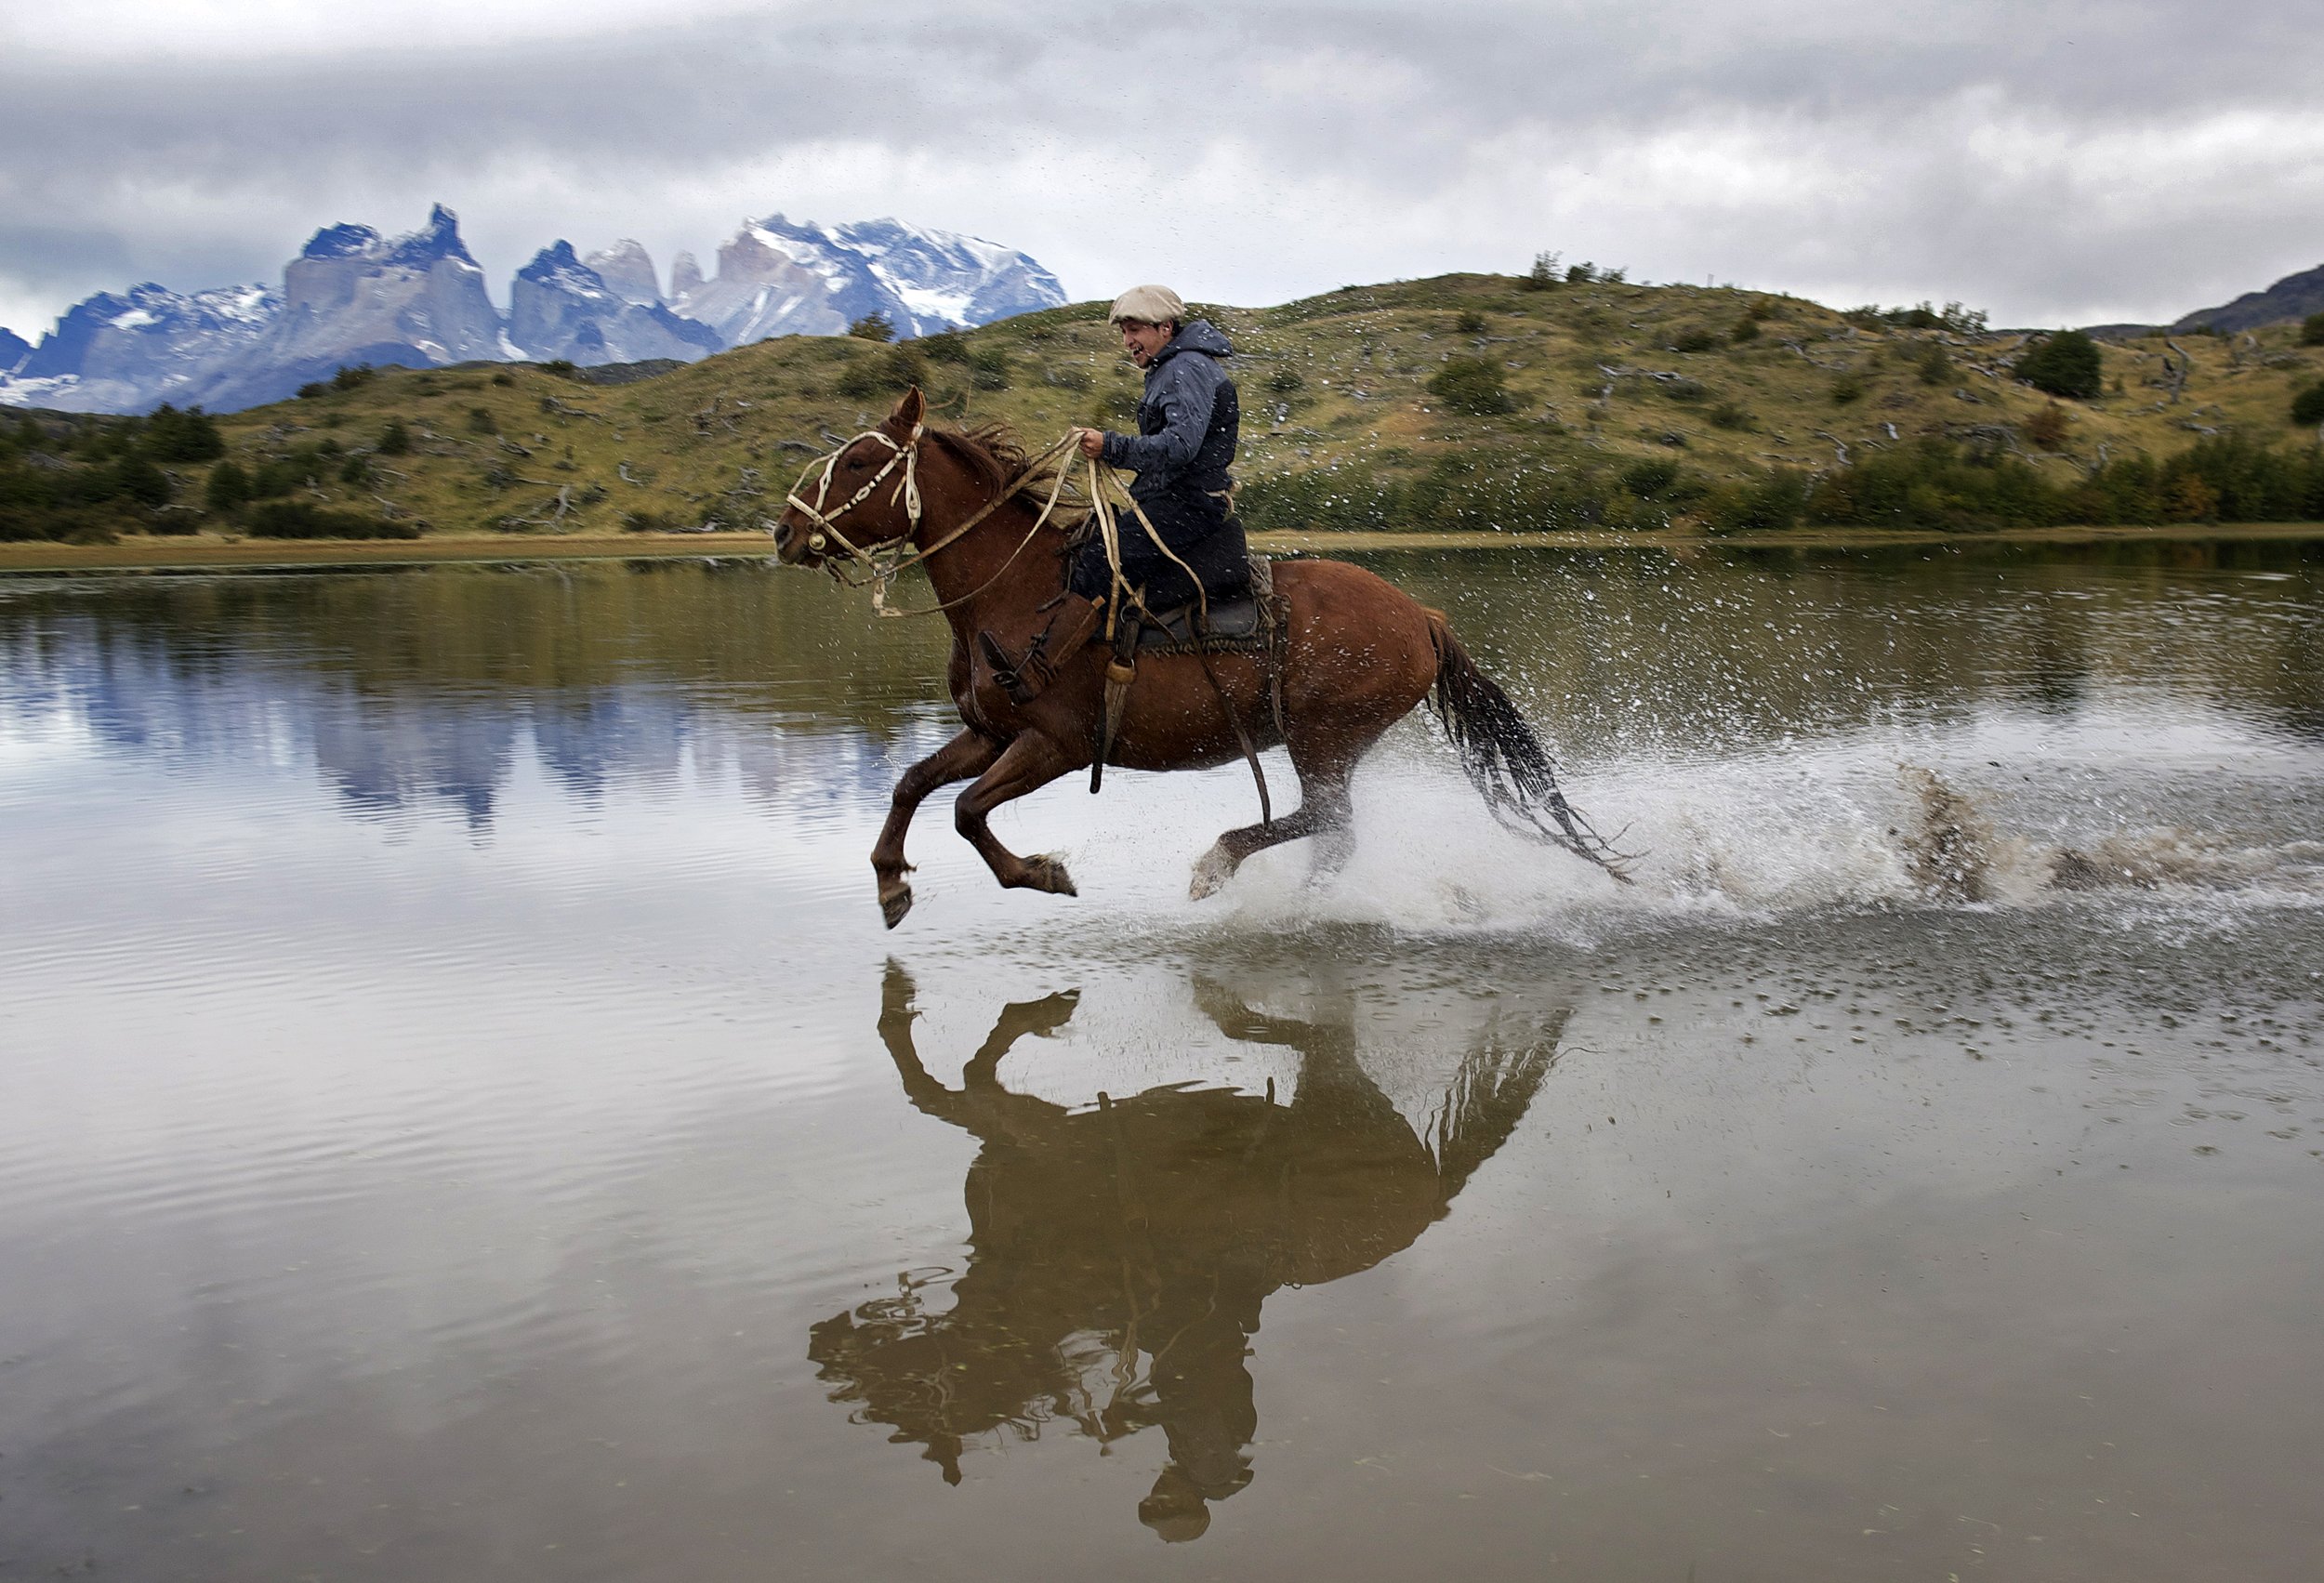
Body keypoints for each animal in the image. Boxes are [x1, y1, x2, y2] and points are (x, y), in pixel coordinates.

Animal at [772, 386, 1627, 925]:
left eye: (858, 464)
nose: (784, 531)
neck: (1017, 589)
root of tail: (1422, 616)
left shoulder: (1056, 744)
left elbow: (965, 810)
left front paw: (1042, 873)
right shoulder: (990, 732)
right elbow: (913, 785)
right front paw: (890, 883)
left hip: (1326, 736)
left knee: (1327, 821)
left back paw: (1223, 869)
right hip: (1329, 741)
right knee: (1332, 832)